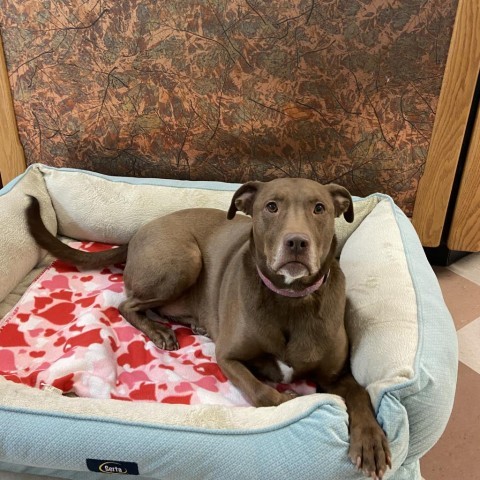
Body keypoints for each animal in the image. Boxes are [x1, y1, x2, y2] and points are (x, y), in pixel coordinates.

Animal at [26, 178, 390, 478]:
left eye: (320, 208)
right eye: (271, 206)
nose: (297, 243)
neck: (289, 299)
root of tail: (138, 233)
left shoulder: (335, 374)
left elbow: (359, 393)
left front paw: (371, 441)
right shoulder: (229, 358)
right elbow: (263, 394)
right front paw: (288, 401)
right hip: (184, 258)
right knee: (127, 304)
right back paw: (160, 332)